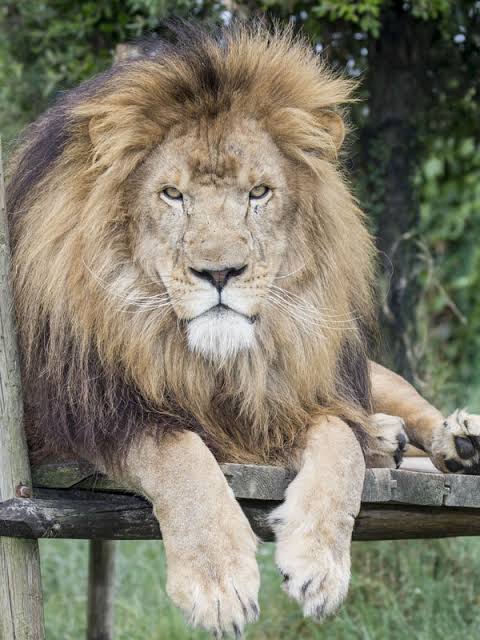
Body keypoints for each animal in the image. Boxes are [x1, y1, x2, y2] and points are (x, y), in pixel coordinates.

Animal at [7, 22, 480, 636]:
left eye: (259, 193)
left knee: (401, 402)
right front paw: (219, 582)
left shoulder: (283, 397)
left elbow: (340, 444)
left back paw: (456, 438)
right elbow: (179, 454)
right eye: (172, 194)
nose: (219, 272)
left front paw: (320, 564)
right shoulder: (87, 416)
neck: (209, 361)